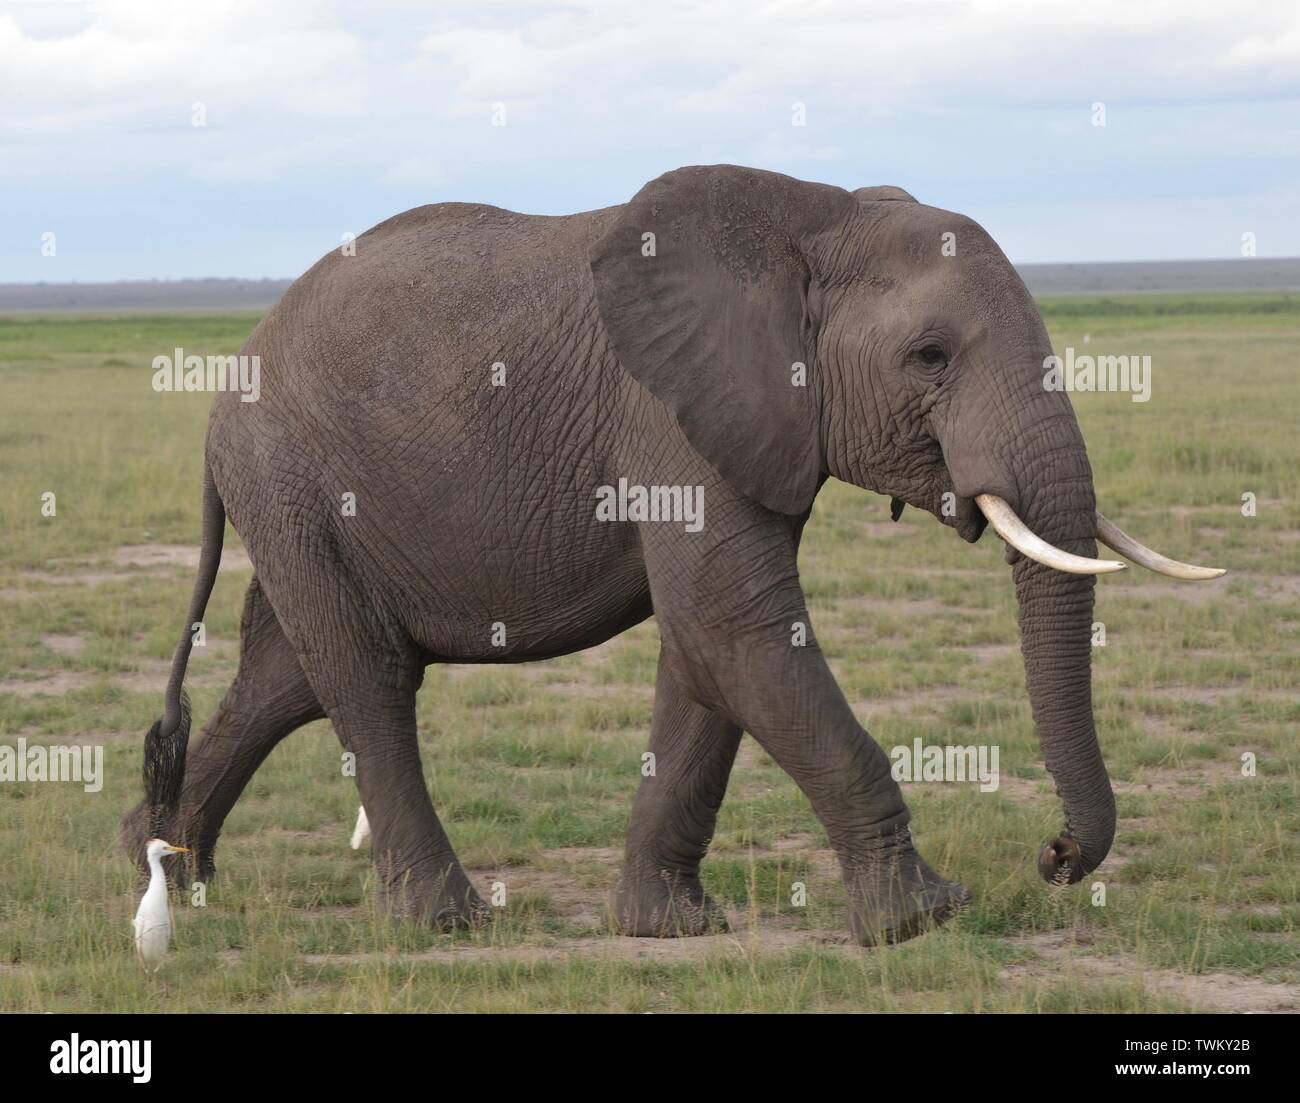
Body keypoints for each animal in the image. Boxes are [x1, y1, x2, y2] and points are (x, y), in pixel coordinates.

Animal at [119, 165, 1216, 946]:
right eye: (930, 357)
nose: (1053, 853)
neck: (819, 217)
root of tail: (226, 386)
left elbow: (704, 652)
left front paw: (668, 928)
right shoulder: (670, 414)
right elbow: (734, 625)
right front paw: (921, 920)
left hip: (299, 501)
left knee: (289, 674)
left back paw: (164, 860)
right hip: (288, 478)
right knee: (366, 676)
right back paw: (446, 922)